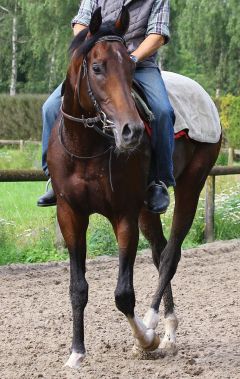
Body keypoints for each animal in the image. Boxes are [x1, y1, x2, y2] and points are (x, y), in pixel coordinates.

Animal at [47, 6, 221, 368]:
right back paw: (168, 331)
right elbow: (78, 288)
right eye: (97, 68)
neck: (87, 147)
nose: (132, 131)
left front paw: (144, 339)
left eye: (130, 66)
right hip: (147, 208)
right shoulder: (70, 214)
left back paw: (155, 327)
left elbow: (123, 295)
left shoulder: (124, 215)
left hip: (192, 186)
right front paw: (76, 353)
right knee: (159, 251)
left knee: (170, 256)